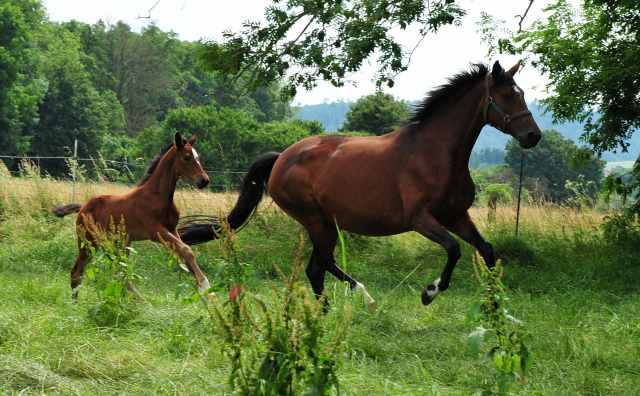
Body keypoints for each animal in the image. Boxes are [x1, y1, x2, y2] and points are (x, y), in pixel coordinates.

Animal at [52, 132, 212, 296]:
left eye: (198, 157)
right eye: (186, 157)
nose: (204, 180)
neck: (158, 196)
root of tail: (83, 206)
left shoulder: (172, 229)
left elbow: (183, 253)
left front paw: (204, 291)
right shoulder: (156, 231)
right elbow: (186, 250)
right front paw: (207, 288)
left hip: (121, 243)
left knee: (121, 274)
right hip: (88, 242)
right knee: (76, 273)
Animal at [179, 61, 540, 306]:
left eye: (521, 93)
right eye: (506, 95)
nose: (533, 136)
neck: (435, 153)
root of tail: (281, 158)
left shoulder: (456, 216)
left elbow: (486, 249)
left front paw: (494, 303)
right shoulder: (421, 220)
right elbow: (454, 249)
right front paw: (430, 292)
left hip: (324, 222)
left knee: (315, 269)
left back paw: (324, 314)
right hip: (315, 220)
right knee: (324, 263)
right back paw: (362, 296)